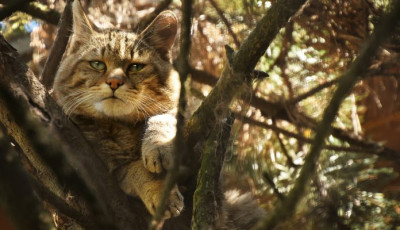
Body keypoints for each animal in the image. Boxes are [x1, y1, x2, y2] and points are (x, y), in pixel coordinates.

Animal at [52, 0, 184, 219]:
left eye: (135, 67)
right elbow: (137, 170)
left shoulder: (172, 109)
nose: (114, 82)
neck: (120, 126)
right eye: (97, 64)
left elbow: (163, 117)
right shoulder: (108, 170)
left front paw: (159, 144)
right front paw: (160, 193)